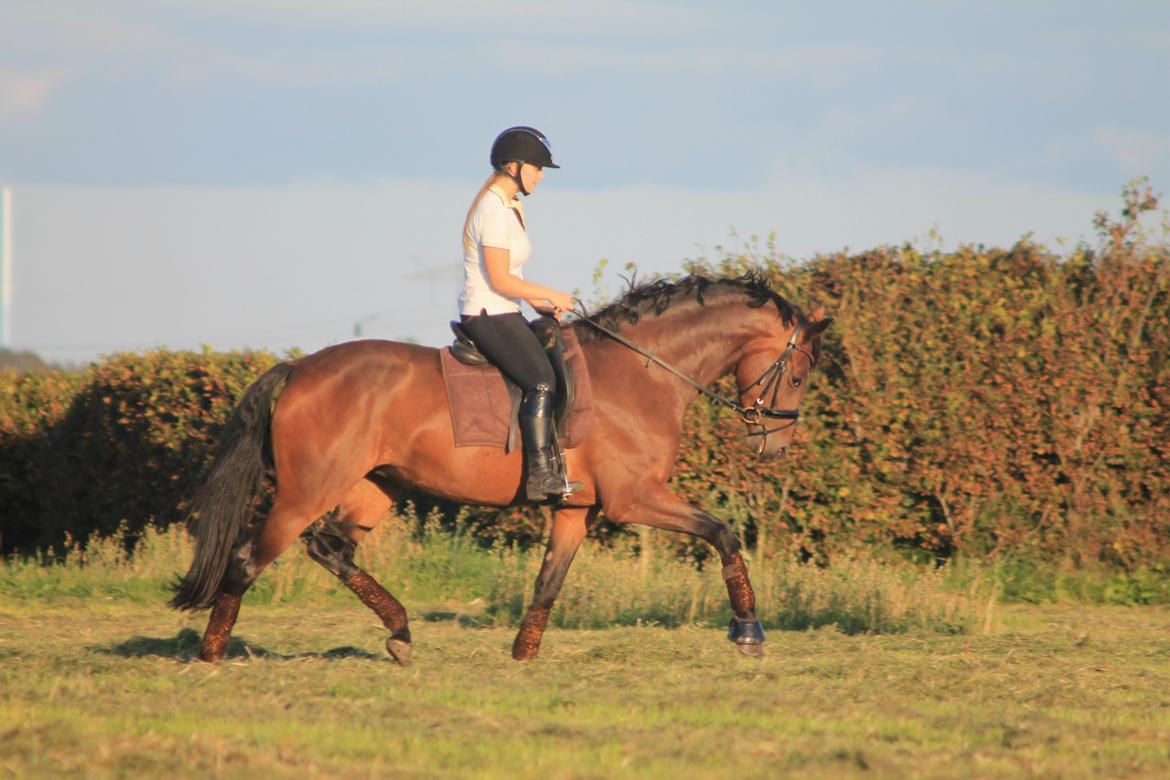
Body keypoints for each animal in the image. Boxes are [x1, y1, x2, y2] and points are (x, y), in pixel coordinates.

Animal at [170, 273, 833, 664]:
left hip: (376, 486)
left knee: (331, 549)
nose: (774, 446)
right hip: (306, 491)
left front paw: (523, 654)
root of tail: (298, 368)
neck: (642, 372)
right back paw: (211, 655)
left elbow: (548, 582)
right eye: (800, 374)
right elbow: (723, 533)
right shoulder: (634, 499)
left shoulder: (577, 508)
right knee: (248, 558)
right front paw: (748, 629)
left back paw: (400, 633)